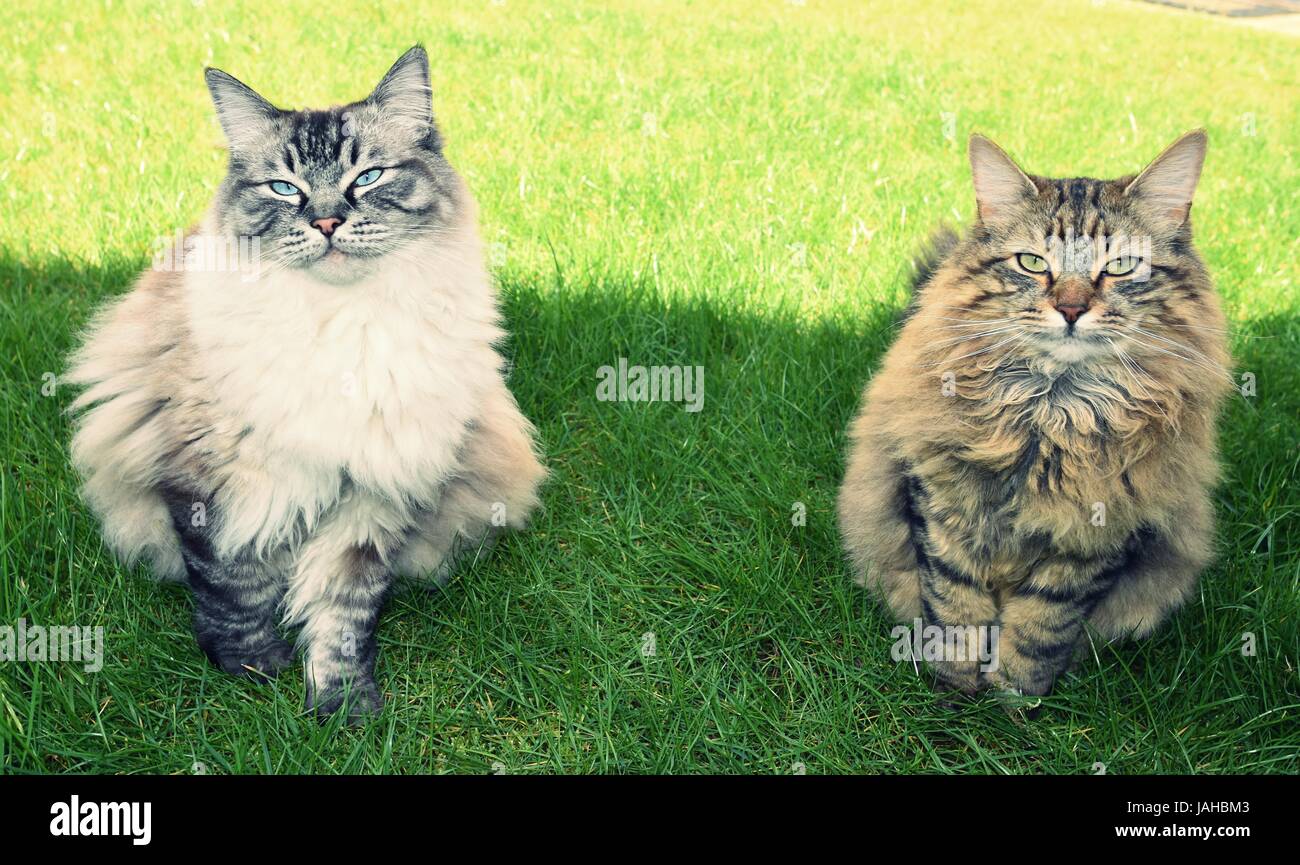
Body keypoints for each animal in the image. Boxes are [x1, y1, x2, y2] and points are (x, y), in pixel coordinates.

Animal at [68, 48, 546, 723]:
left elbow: (343, 609)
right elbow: (232, 587)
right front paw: (252, 671)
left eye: (368, 177)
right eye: (283, 187)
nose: (325, 220)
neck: (339, 321)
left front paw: (343, 707)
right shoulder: (216, 480)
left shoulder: (375, 490)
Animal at [837, 133, 1232, 702]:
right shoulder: (939, 502)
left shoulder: (1100, 533)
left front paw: (1015, 697)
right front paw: (956, 692)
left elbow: (1042, 624)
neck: (1052, 411)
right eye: (1031, 262)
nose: (1070, 309)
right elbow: (955, 608)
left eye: (1120, 266)